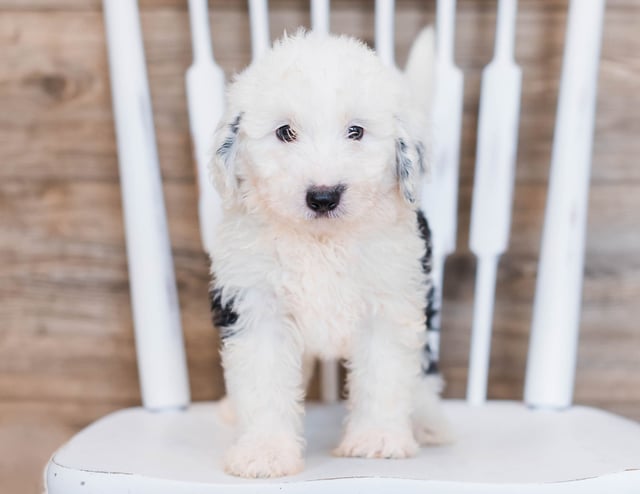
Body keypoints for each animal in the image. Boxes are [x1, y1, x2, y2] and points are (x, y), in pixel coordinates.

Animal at [209, 29, 450, 476]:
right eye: (285, 132)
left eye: (356, 131)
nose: (323, 196)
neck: (320, 242)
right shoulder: (255, 306)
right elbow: (263, 382)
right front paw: (264, 452)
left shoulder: (390, 304)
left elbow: (384, 376)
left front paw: (377, 440)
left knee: (424, 370)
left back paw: (429, 421)